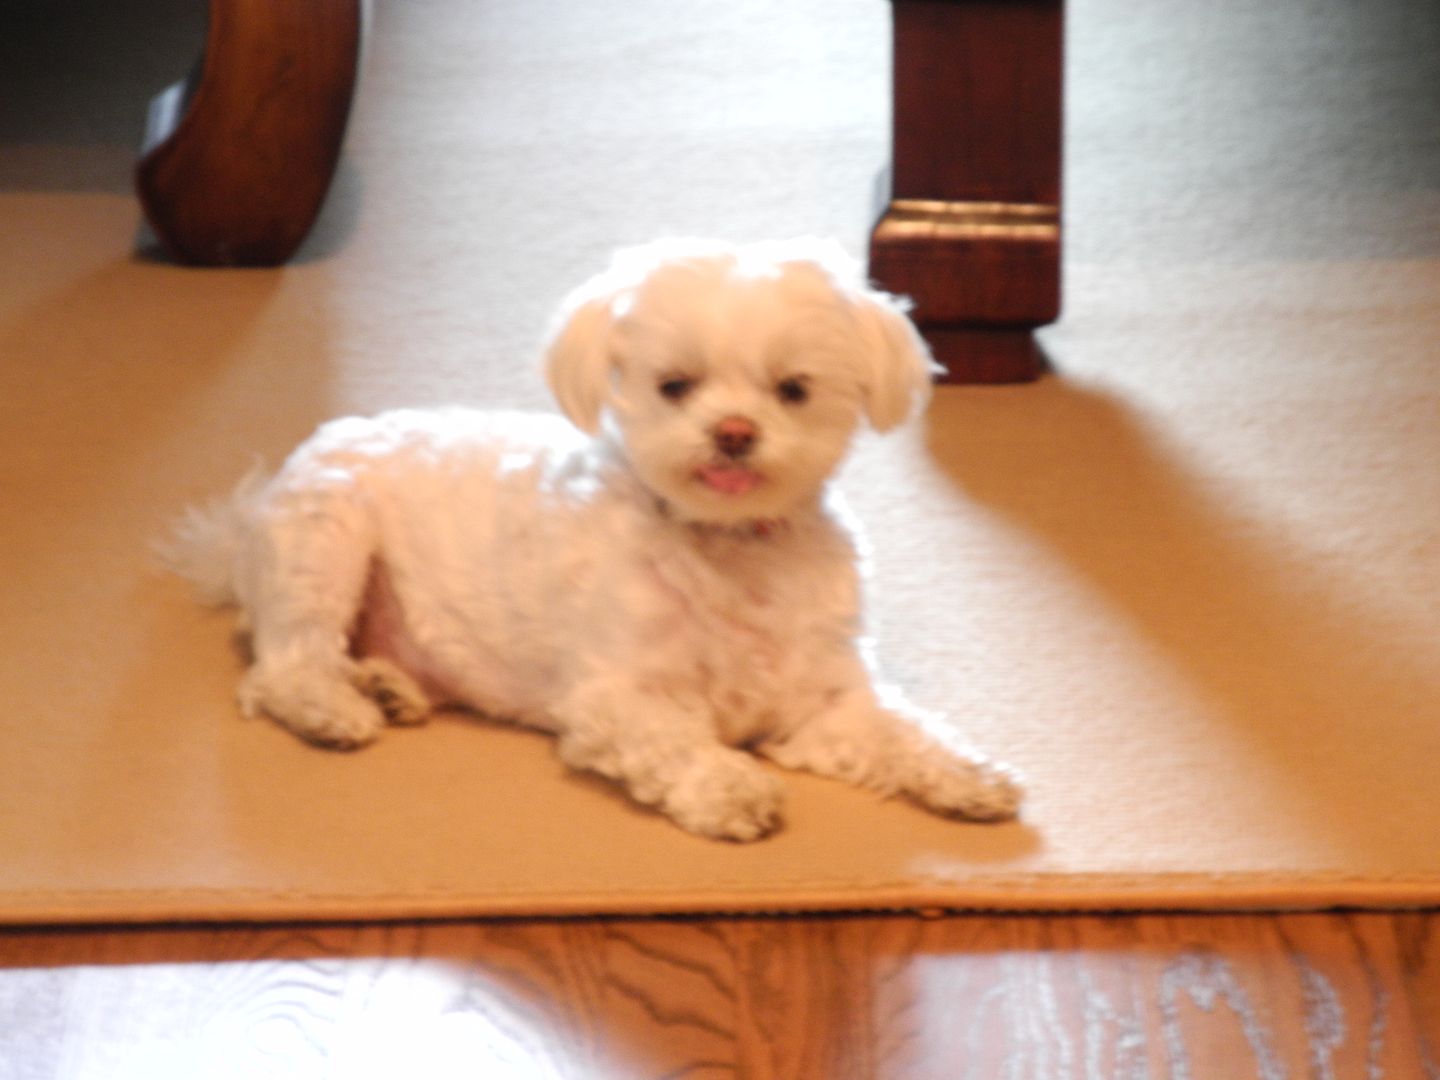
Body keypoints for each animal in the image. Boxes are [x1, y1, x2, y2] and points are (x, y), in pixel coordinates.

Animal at [165, 240, 1025, 840]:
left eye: (794, 390)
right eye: (675, 385)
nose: (735, 432)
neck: (729, 551)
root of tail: (246, 527)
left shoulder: (824, 704)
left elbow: (900, 732)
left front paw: (967, 771)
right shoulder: (615, 698)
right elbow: (674, 739)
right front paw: (731, 787)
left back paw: (384, 684)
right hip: (325, 540)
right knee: (285, 665)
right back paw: (334, 707)